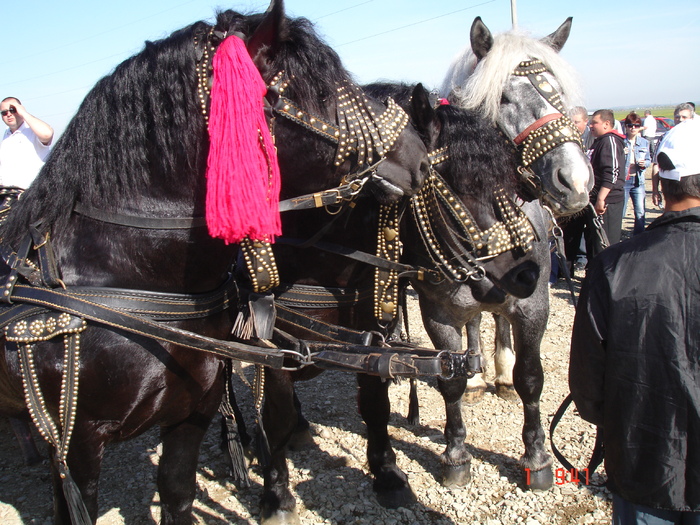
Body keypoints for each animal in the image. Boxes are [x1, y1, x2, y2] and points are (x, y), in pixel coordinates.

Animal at [0, 2, 430, 520]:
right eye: (324, 90)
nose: (419, 157)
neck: (120, 277)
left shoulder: (192, 411)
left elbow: (178, 492)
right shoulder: (76, 449)